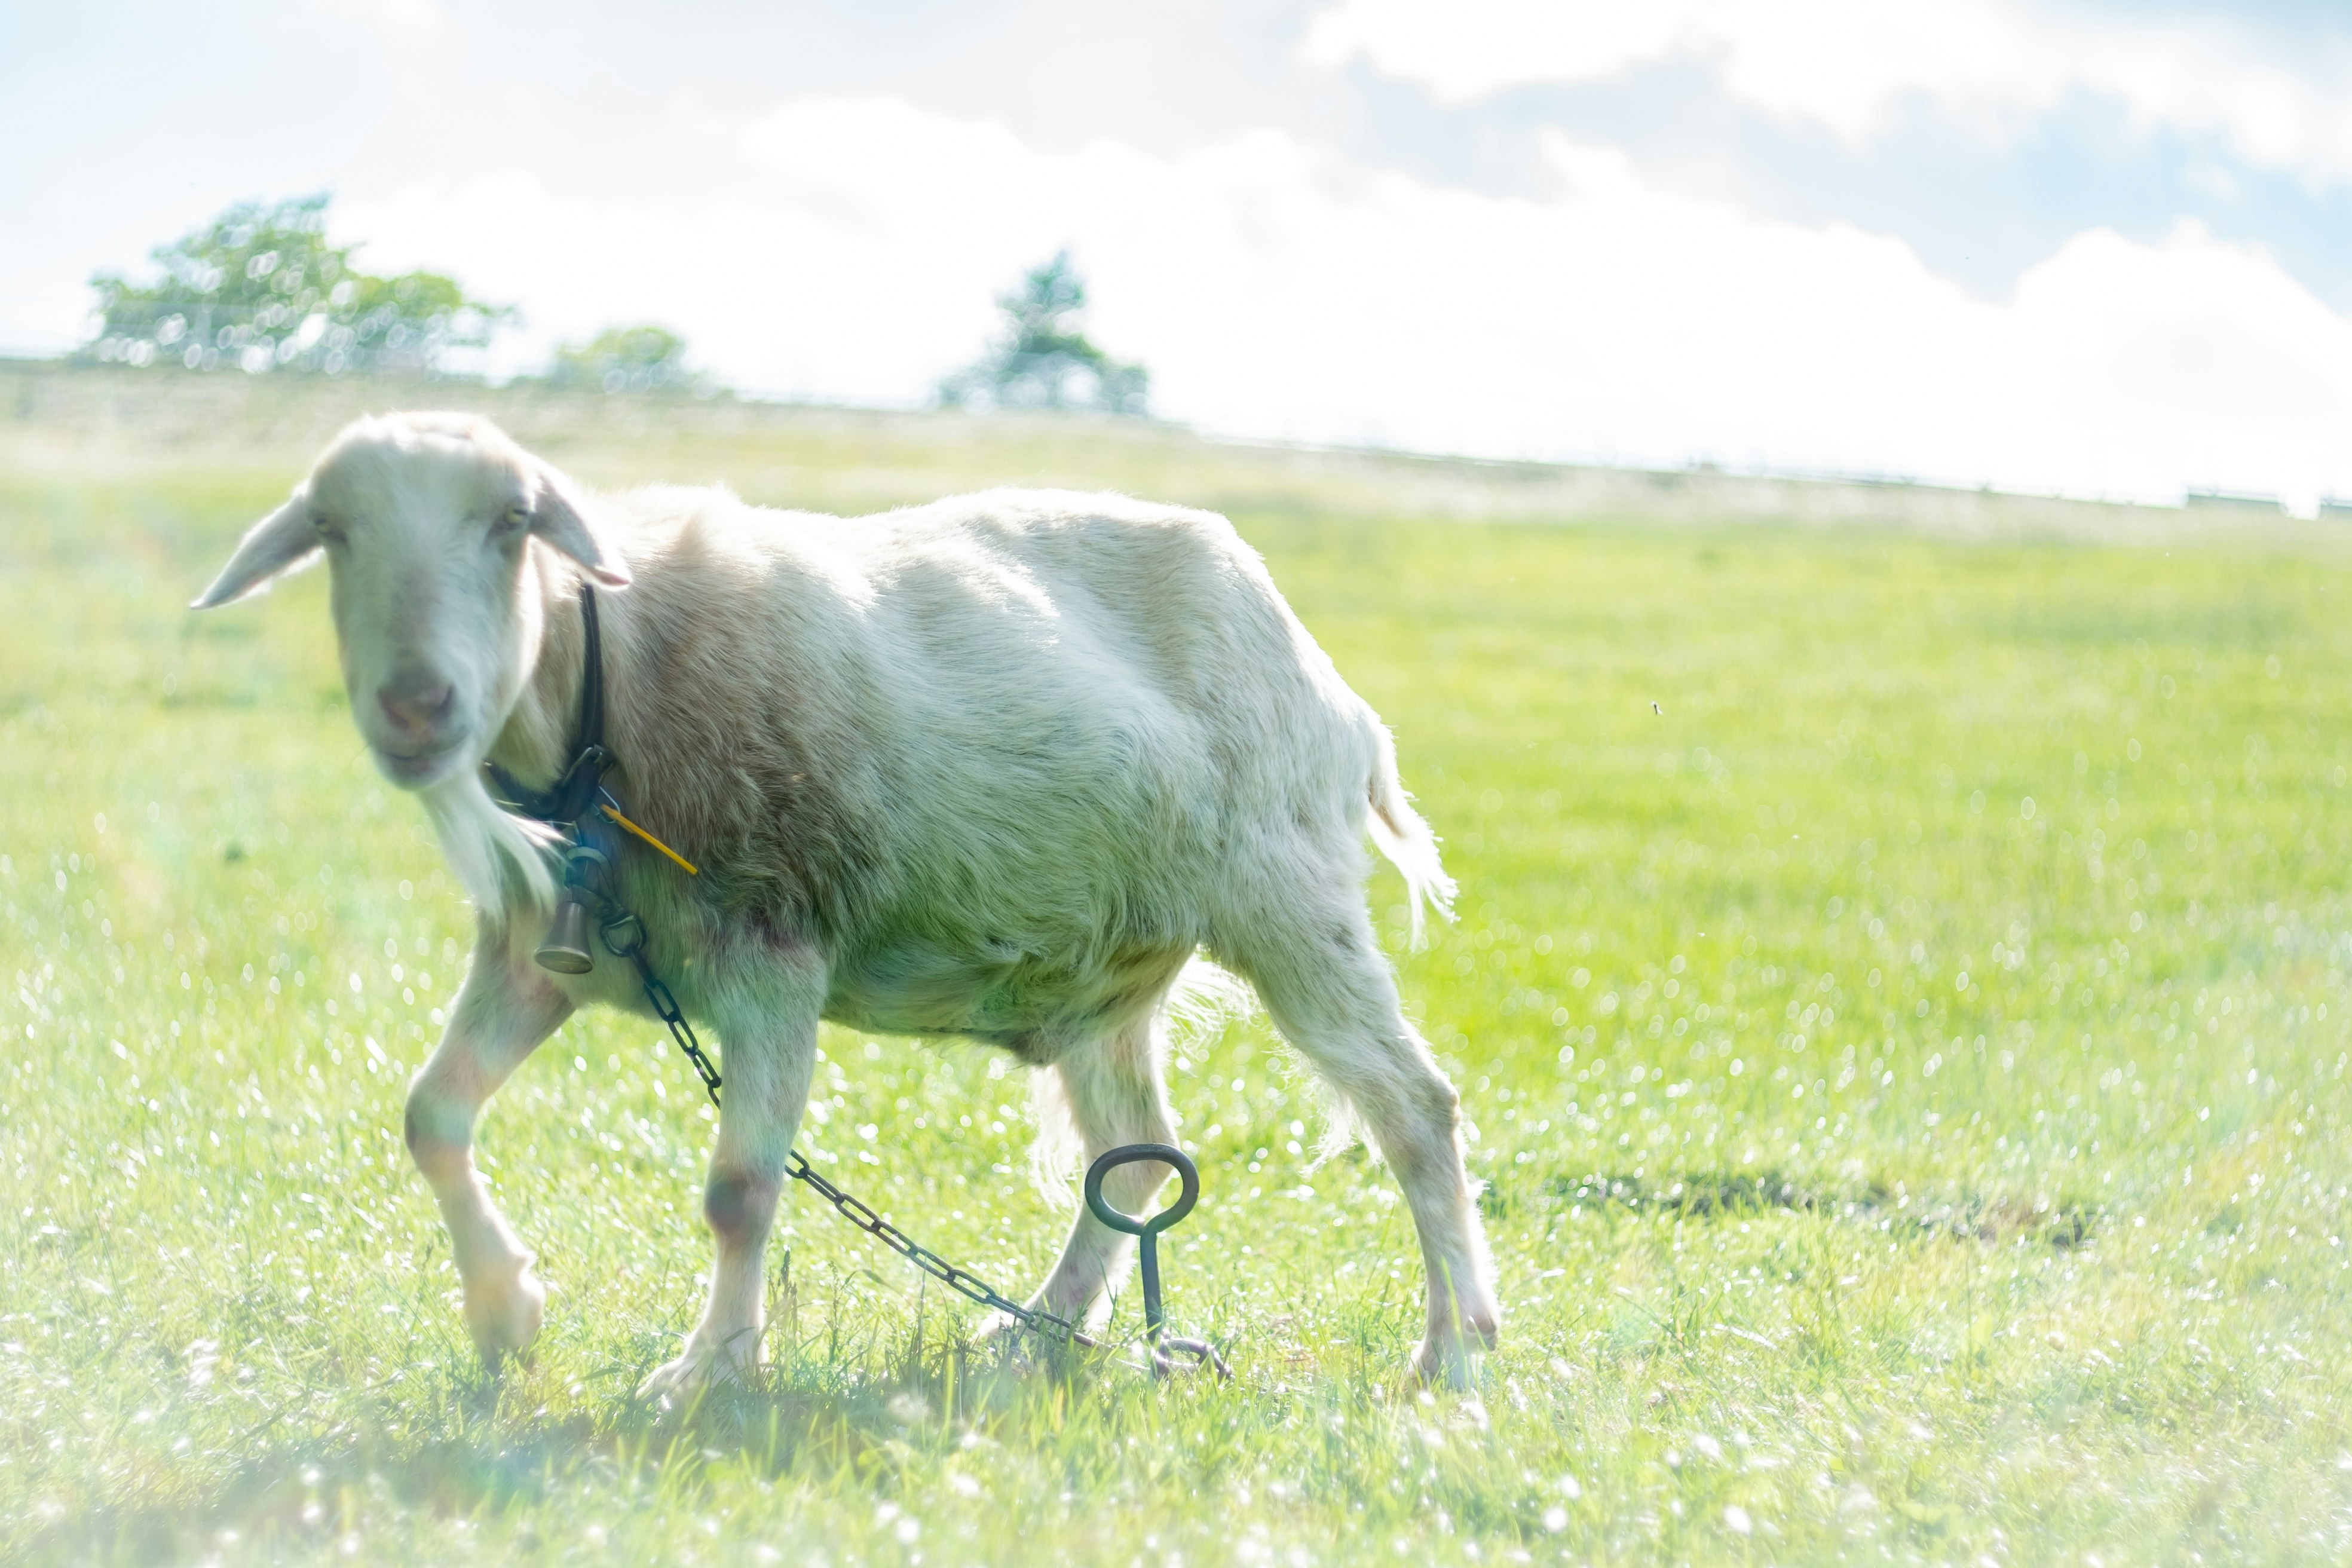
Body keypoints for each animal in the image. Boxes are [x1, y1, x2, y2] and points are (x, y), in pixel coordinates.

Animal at [194, 411, 1498, 1393]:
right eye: (332, 531)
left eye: (512, 522)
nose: (416, 704)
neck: (604, 700)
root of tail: (1336, 694)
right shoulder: (536, 953)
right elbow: (432, 1114)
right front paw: (505, 1310)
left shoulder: (773, 951)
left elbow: (738, 1190)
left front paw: (711, 1368)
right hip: (1109, 976)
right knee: (1133, 1163)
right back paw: (1036, 1332)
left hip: (1289, 896)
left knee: (1414, 1109)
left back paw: (1455, 1348)